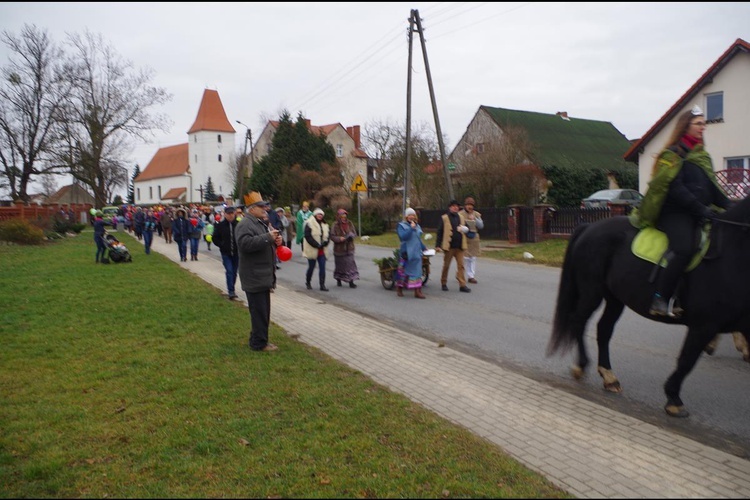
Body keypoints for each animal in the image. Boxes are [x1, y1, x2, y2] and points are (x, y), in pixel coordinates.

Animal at [548, 195, 750, 418]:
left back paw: (609, 377)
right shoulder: (703, 325)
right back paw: (582, 365)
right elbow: (686, 361)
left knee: (604, 330)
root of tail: (588, 227)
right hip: (592, 293)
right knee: (579, 321)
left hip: (615, 299)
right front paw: (673, 399)